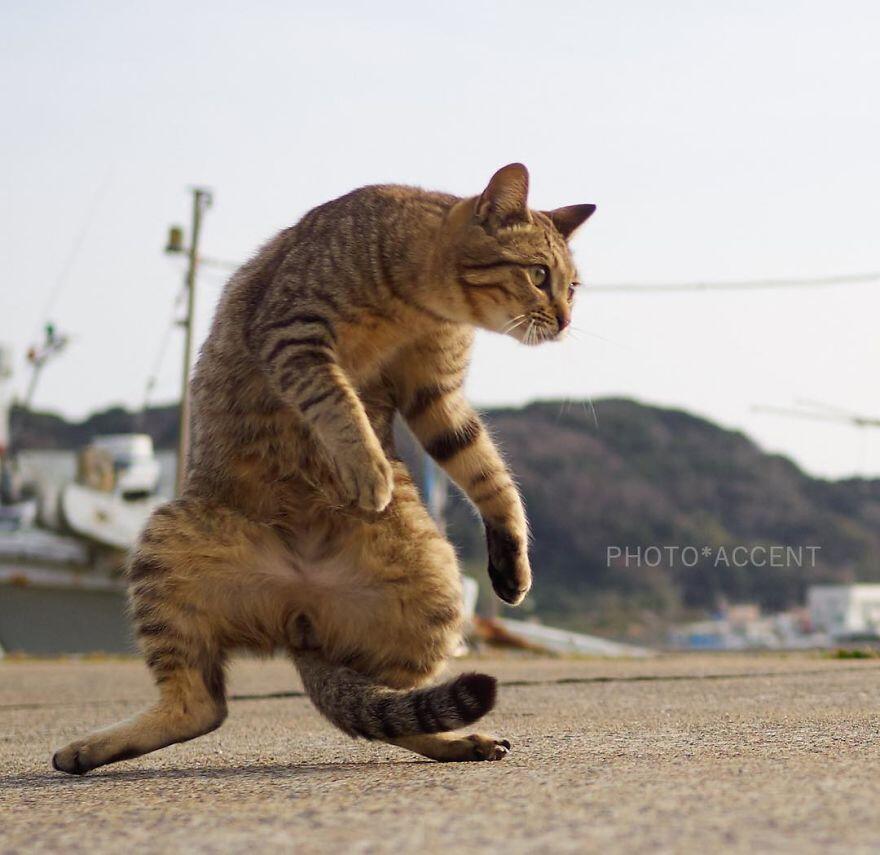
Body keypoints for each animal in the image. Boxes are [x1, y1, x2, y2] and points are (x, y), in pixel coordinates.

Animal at [51, 164, 596, 772]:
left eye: (572, 286)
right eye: (539, 274)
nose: (566, 319)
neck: (426, 301)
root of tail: (300, 621)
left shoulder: (437, 396)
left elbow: (487, 471)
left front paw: (513, 561)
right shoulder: (295, 332)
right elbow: (337, 402)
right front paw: (370, 470)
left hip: (438, 594)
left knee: (383, 707)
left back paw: (459, 741)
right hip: (165, 545)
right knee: (202, 705)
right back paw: (88, 748)